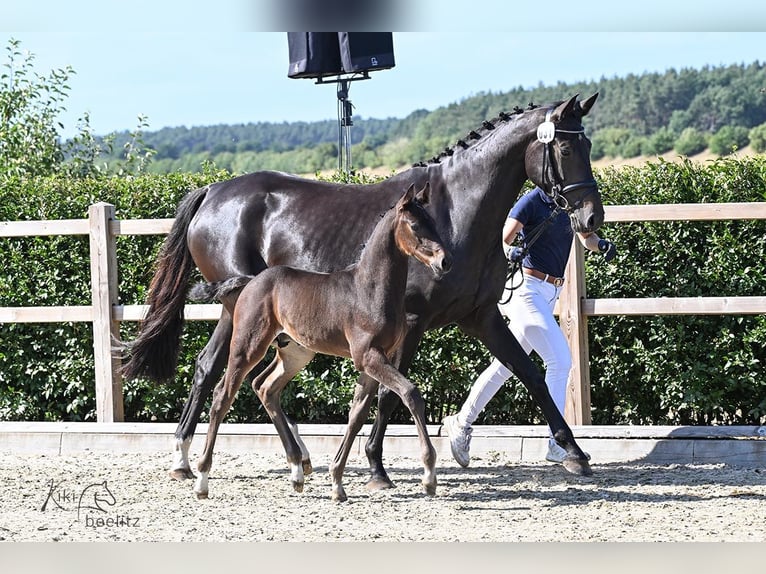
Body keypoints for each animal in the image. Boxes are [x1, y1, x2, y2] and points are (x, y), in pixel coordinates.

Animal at [187, 182, 451, 501]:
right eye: (414, 225)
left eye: (433, 222)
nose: (445, 261)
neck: (369, 289)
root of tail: (250, 280)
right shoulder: (368, 356)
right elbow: (410, 393)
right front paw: (429, 474)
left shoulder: (374, 359)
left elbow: (357, 414)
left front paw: (337, 482)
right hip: (247, 345)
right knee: (222, 395)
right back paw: (202, 480)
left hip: (295, 353)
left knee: (265, 387)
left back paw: (297, 471)